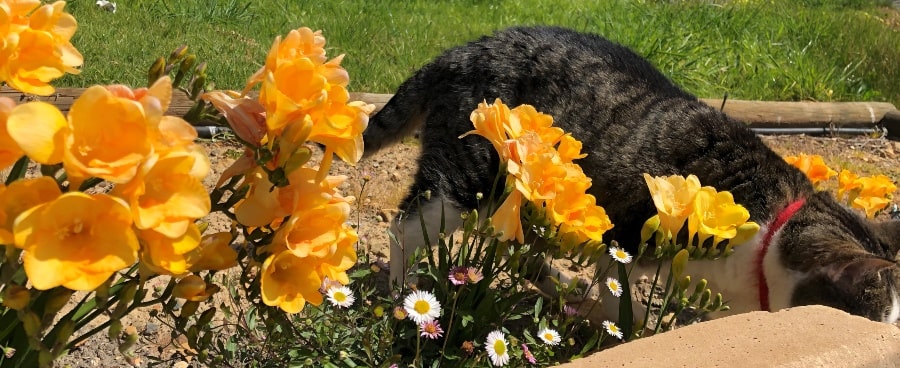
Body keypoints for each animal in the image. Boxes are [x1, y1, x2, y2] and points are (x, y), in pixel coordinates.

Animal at [362, 26, 896, 322]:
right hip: (468, 172)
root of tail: (455, 53)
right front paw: (633, 319)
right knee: (406, 226)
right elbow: (612, 280)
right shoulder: (631, 227)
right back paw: (406, 288)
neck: (772, 228)